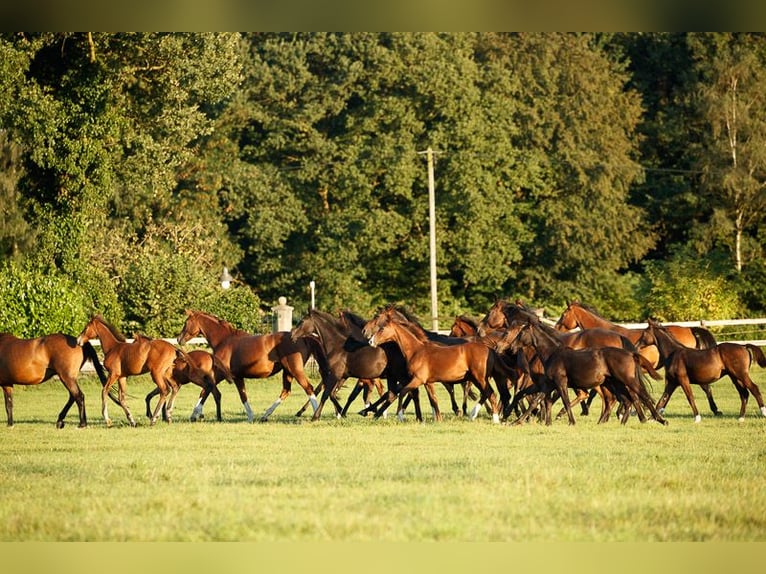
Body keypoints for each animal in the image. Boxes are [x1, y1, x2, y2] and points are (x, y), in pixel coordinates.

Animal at [178, 310, 328, 424]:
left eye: (186, 322)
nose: (179, 339)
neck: (224, 340)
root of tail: (304, 338)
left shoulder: (223, 374)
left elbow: (207, 389)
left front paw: (195, 414)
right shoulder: (236, 377)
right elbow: (241, 394)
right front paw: (251, 416)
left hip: (295, 370)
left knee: (309, 388)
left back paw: (315, 416)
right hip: (287, 372)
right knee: (286, 391)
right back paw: (265, 416)